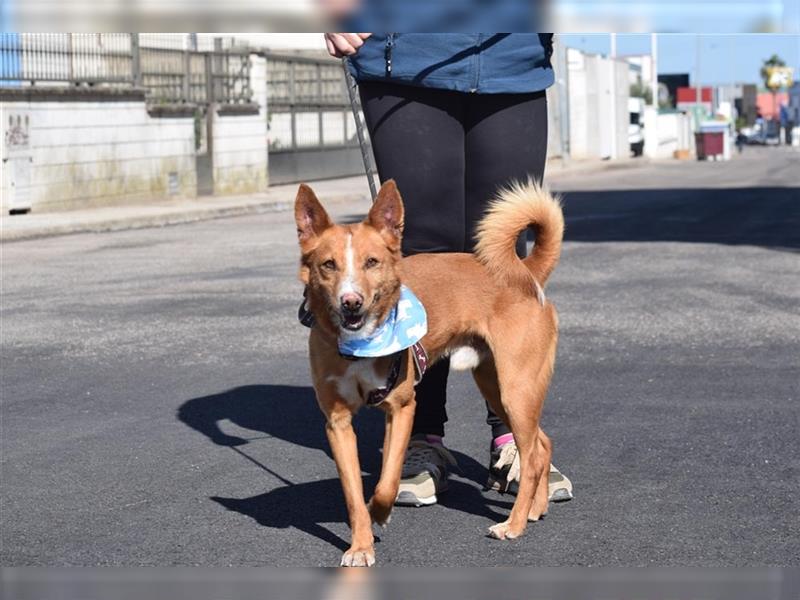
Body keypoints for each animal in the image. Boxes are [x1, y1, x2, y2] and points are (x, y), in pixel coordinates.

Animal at [294, 179, 564, 568]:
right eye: (328, 265)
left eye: (372, 262)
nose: (351, 303)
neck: (361, 344)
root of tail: (526, 272)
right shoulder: (337, 423)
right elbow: (354, 494)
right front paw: (361, 543)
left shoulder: (403, 408)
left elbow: (388, 480)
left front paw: (380, 512)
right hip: (497, 387)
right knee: (542, 444)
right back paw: (533, 509)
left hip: (517, 388)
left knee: (531, 457)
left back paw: (513, 524)